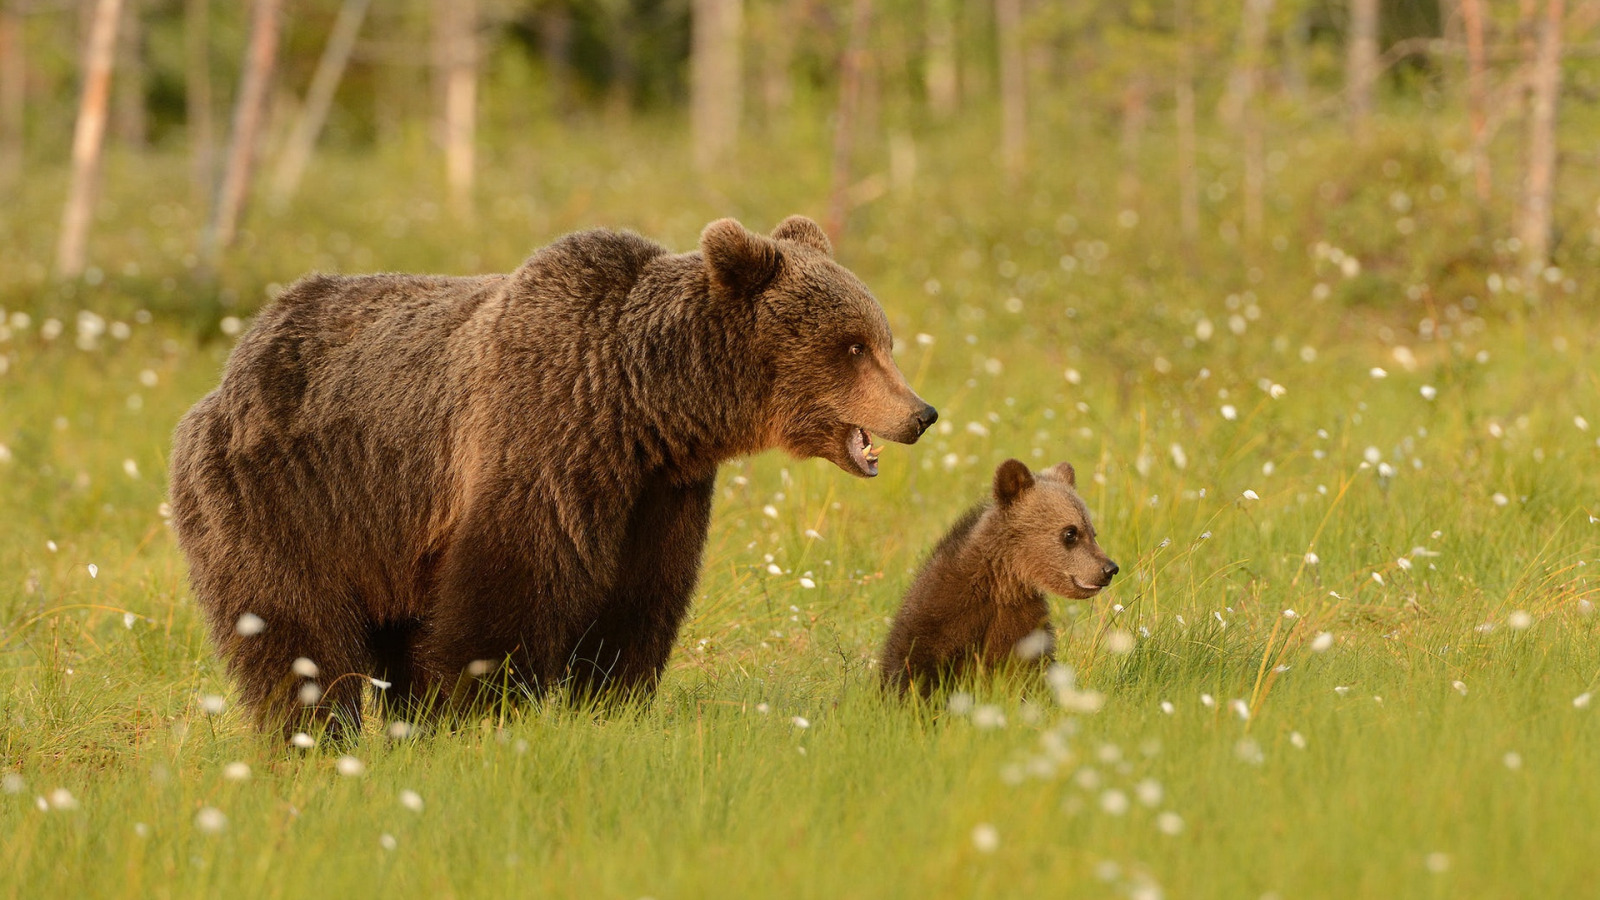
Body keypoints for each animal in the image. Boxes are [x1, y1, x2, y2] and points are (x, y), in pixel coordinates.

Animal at [167, 217, 934, 736]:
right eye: (853, 346)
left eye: (883, 339)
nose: (919, 413)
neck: (642, 403)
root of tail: (231, 369)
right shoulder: (543, 443)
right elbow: (507, 595)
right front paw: (478, 714)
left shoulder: (659, 494)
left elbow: (637, 604)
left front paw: (609, 705)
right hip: (289, 499)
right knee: (296, 634)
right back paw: (315, 736)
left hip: (381, 535)